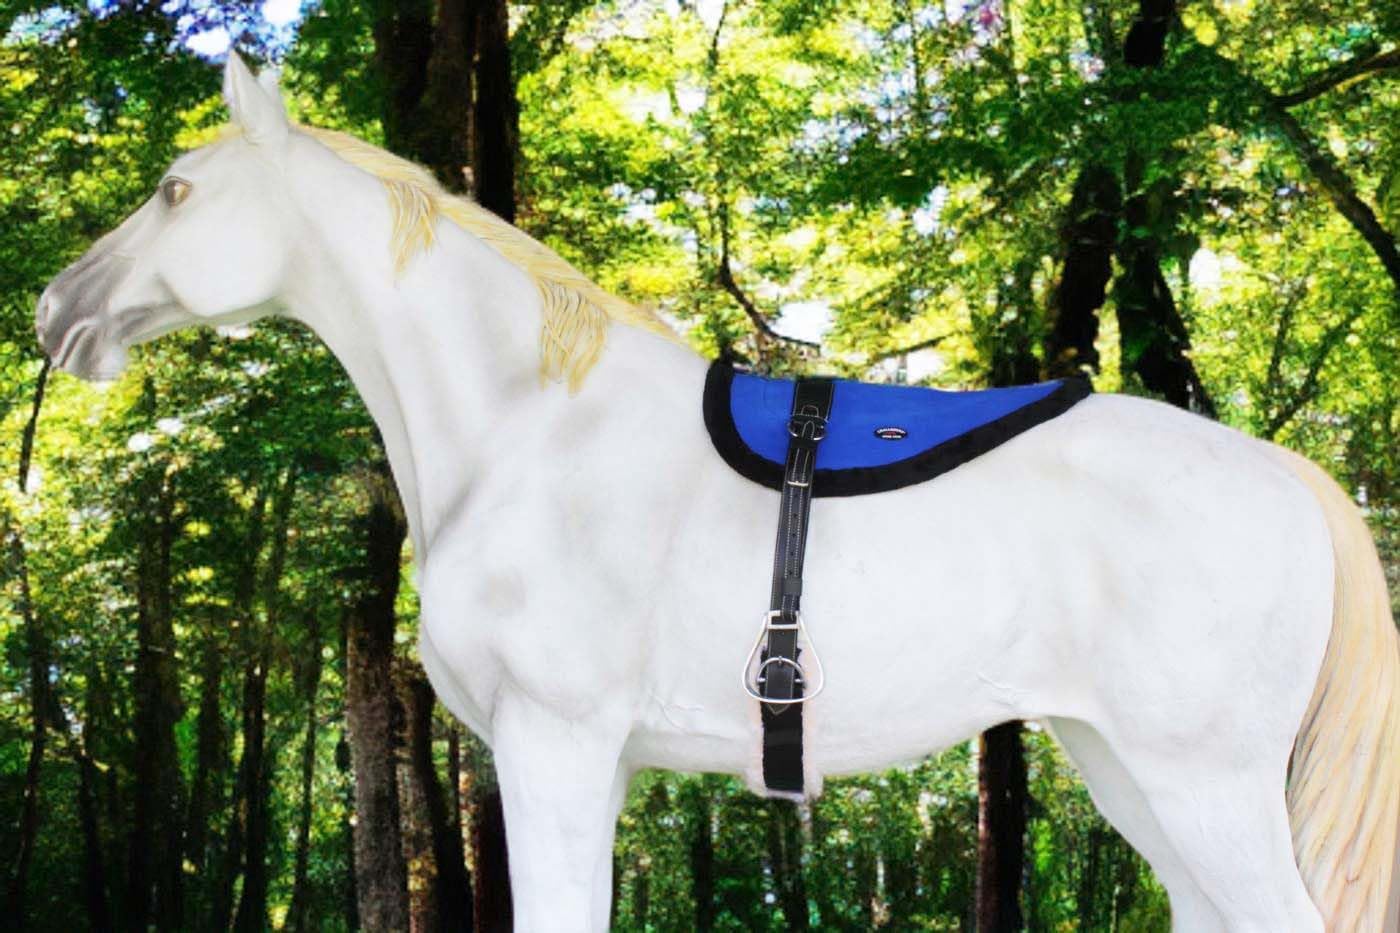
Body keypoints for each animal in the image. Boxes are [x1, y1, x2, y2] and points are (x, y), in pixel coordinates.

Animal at [35, 54, 1399, 932]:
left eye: (176, 191)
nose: (55, 311)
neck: (529, 431)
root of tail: (1284, 473)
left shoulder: (553, 747)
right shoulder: (595, 768)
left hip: (1202, 785)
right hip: (1131, 773)